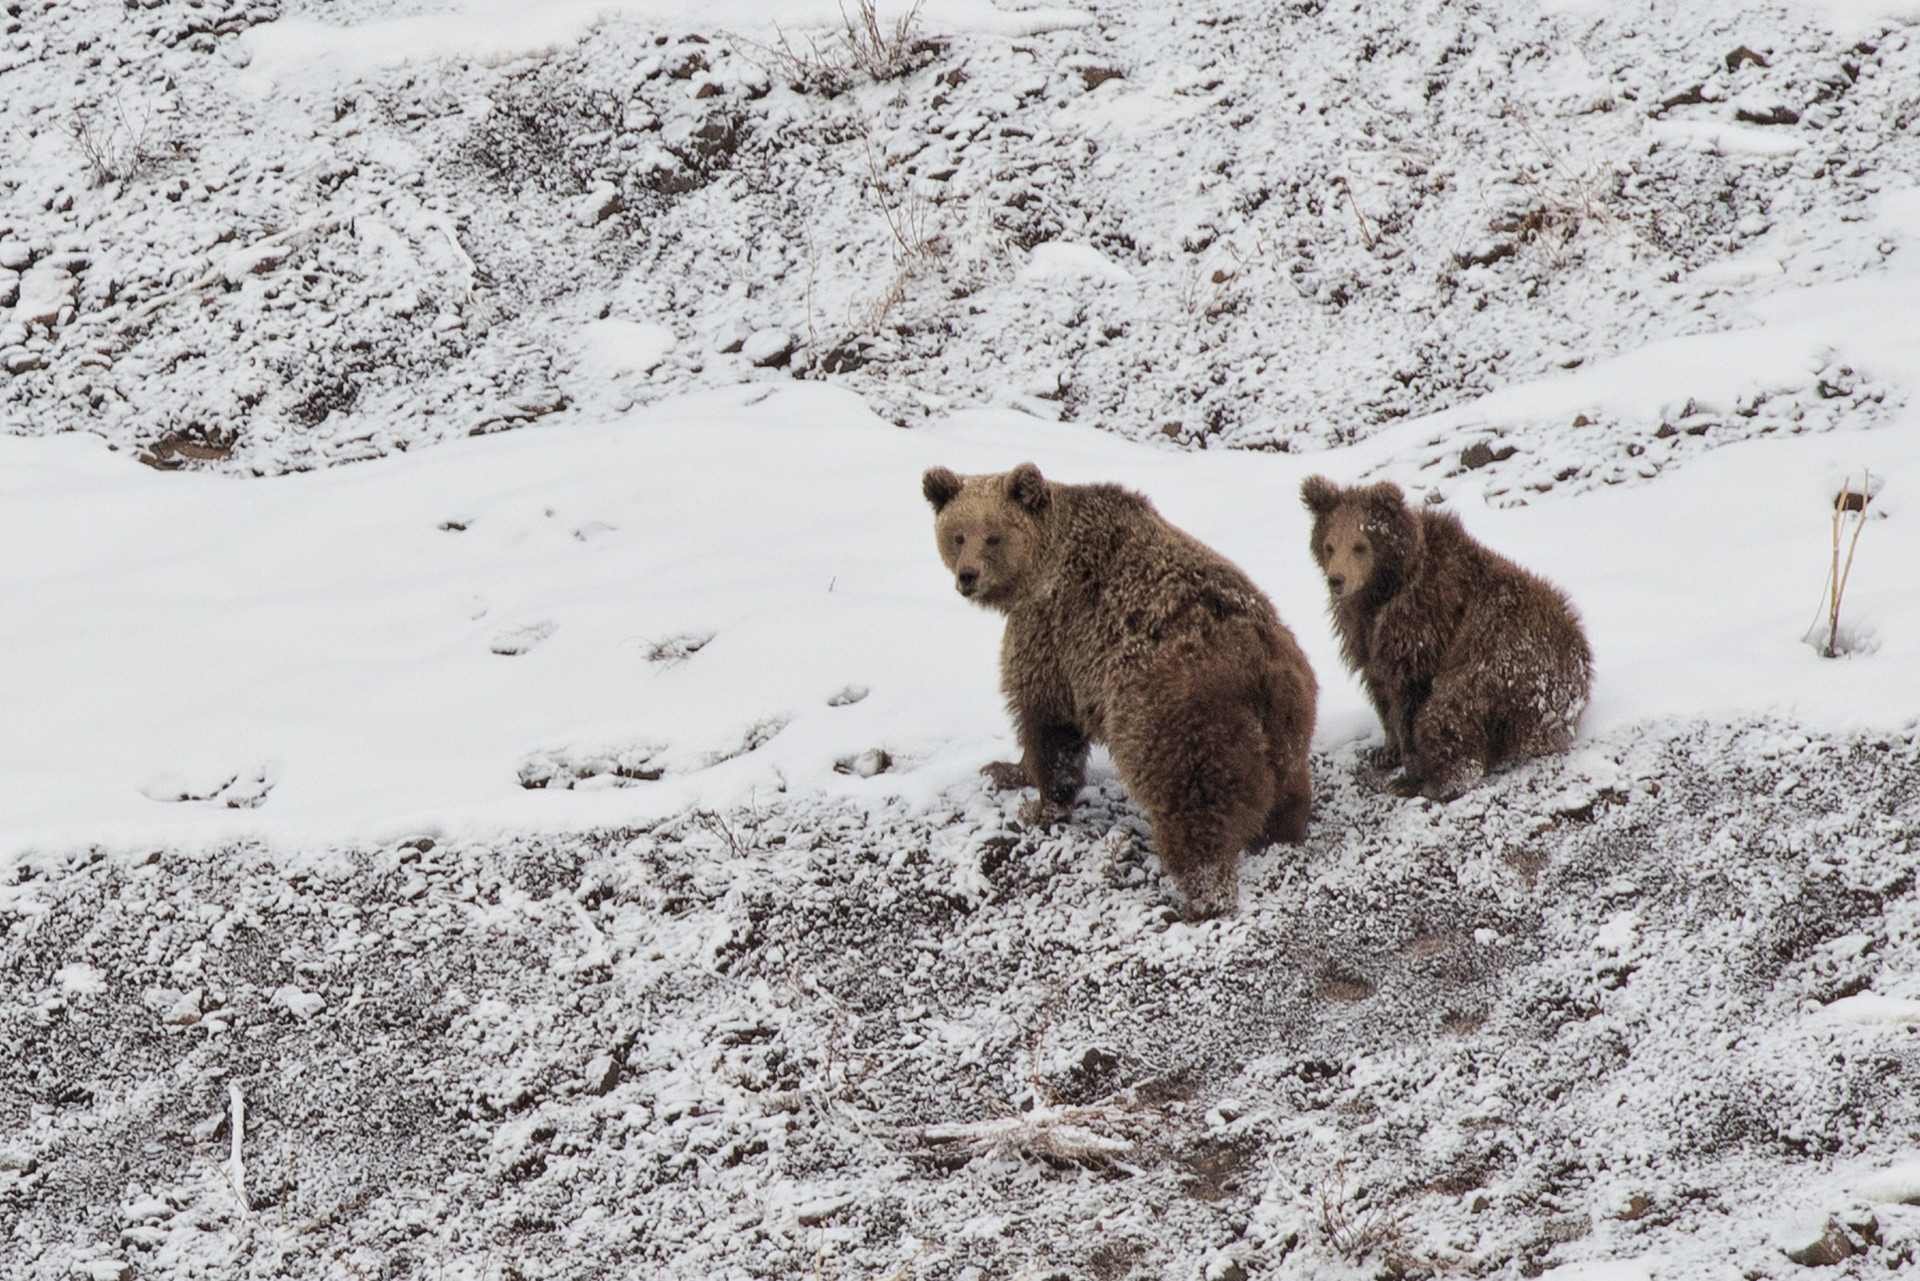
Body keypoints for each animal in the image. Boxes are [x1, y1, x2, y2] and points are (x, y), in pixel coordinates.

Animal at [923, 462, 1317, 918]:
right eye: (958, 534)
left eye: (993, 535)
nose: (968, 576)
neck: (1040, 569)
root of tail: (1256, 661)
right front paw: (1004, 770)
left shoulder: (1053, 637)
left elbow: (1047, 724)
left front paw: (1034, 802)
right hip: (1288, 713)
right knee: (1287, 782)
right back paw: (1278, 832)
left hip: (1176, 713)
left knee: (1195, 806)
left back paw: (1202, 897)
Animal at [1300, 476, 1593, 801]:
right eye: (1329, 545)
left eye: (1360, 545)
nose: (1336, 580)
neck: (1382, 591)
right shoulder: (1364, 634)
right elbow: (1380, 687)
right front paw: (1384, 751)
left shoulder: (1422, 622)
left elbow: (1409, 694)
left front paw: (1409, 768)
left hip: (1503, 667)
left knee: (1449, 707)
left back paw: (1436, 780)